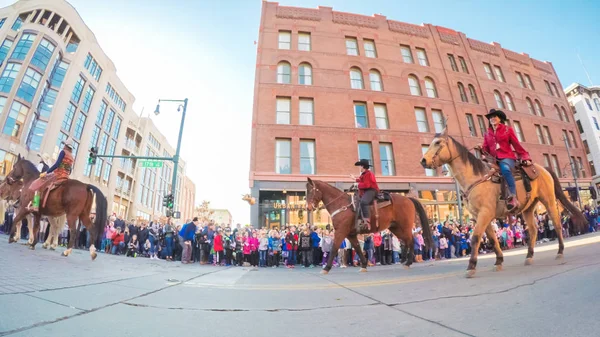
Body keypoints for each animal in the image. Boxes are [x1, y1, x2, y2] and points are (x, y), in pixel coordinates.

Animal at [304, 177, 432, 272]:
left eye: (311, 191)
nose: (308, 207)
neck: (341, 205)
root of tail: (409, 199)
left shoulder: (341, 231)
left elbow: (335, 247)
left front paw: (326, 268)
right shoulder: (350, 234)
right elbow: (357, 248)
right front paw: (364, 265)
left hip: (404, 227)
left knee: (410, 241)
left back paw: (408, 262)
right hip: (396, 228)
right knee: (406, 241)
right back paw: (405, 261)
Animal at [422, 125, 584, 276]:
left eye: (438, 142)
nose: (423, 161)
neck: (476, 179)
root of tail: (543, 169)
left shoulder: (485, 213)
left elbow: (475, 238)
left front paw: (471, 266)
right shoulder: (480, 216)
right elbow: (492, 239)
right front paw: (498, 261)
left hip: (549, 200)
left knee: (557, 224)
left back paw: (560, 251)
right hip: (528, 207)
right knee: (533, 230)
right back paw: (529, 256)